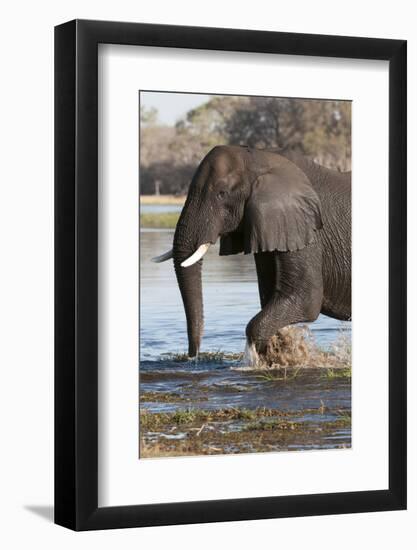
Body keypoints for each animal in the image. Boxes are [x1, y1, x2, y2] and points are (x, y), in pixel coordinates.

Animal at [151, 144, 350, 364]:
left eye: (222, 194)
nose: (193, 357)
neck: (260, 157)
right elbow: (270, 296)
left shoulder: (306, 228)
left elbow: (305, 298)